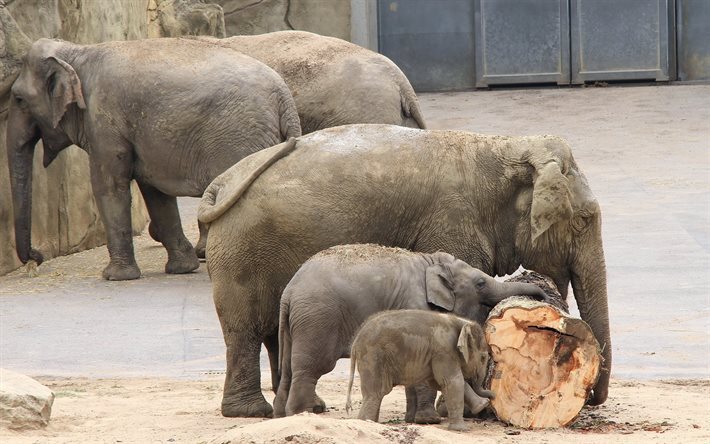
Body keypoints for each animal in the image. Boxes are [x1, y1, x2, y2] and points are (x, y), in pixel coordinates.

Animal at [9, 38, 304, 280]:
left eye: (19, 99)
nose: (36, 257)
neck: (76, 51)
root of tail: (284, 97)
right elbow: (155, 191)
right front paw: (182, 268)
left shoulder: (104, 119)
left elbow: (109, 185)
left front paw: (114, 276)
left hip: (240, 139)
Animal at [346, 310, 496, 432]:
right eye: (483, 357)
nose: (492, 397)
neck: (460, 322)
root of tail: (355, 342)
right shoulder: (444, 352)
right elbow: (452, 381)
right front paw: (462, 430)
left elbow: (439, 382)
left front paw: (481, 405)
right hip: (373, 359)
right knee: (375, 394)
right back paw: (366, 423)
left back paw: (373, 423)